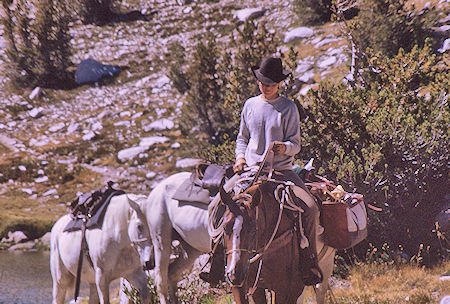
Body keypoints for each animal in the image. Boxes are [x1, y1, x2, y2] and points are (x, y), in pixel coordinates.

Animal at [142, 172, 336, 304]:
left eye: (253, 229)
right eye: (224, 227)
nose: (235, 273)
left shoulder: (289, 287)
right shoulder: (247, 287)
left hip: (190, 250)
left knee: (172, 275)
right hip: (161, 239)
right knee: (161, 280)